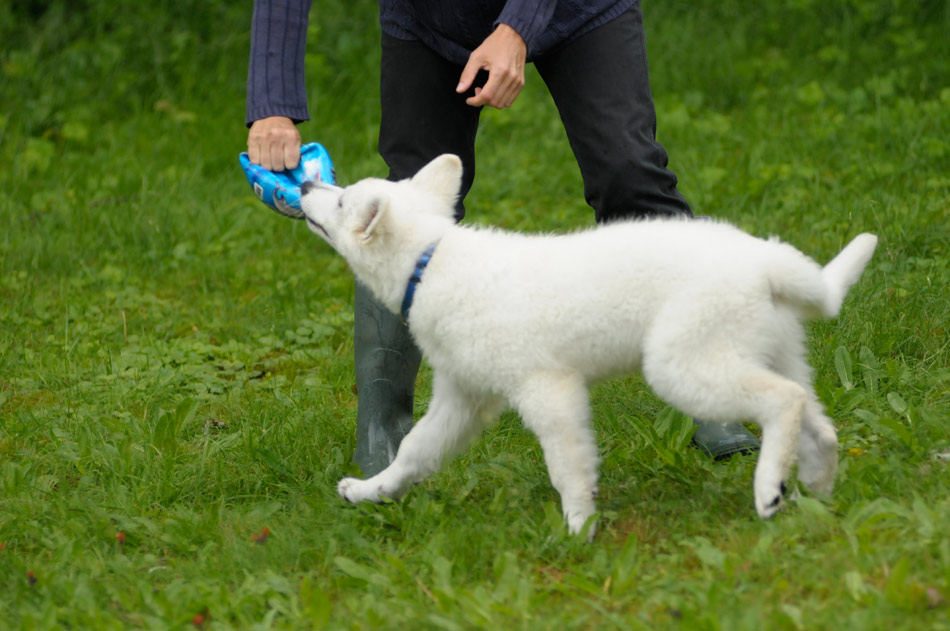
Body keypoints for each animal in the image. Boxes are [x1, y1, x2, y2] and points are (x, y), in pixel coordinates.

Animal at [299, 154, 877, 536]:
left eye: (343, 199)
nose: (303, 182)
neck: (433, 259)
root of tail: (765, 258)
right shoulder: (462, 398)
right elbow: (416, 449)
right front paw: (371, 491)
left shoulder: (549, 392)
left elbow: (567, 462)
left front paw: (578, 527)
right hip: (776, 351)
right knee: (818, 423)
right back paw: (817, 491)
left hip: (681, 363)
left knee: (784, 401)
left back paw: (768, 488)